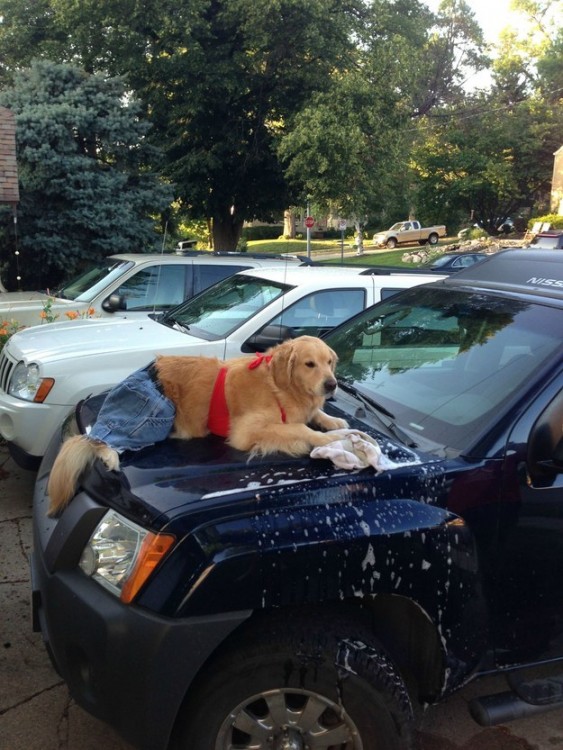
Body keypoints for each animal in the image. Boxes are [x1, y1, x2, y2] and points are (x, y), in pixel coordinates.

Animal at [47, 340, 348, 516]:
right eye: (309, 364)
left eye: (329, 363)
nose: (332, 384)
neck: (279, 385)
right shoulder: (247, 431)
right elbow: (299, 429)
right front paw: (324, 439)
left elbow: (317, 414)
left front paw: (333, 422)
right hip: (155, 413)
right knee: (99, 438)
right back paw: (108, 453)